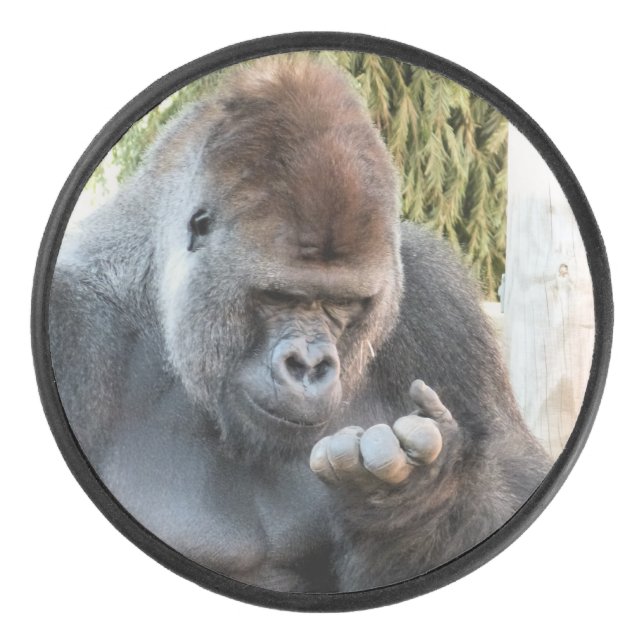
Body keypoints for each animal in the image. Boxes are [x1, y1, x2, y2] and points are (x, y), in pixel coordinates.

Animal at [49, 55, 551, 593]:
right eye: (278, 297)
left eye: (342, 303)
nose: (308, 365)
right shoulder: (70, 327)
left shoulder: (435, 296)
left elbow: (517, 474)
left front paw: (416, 500)